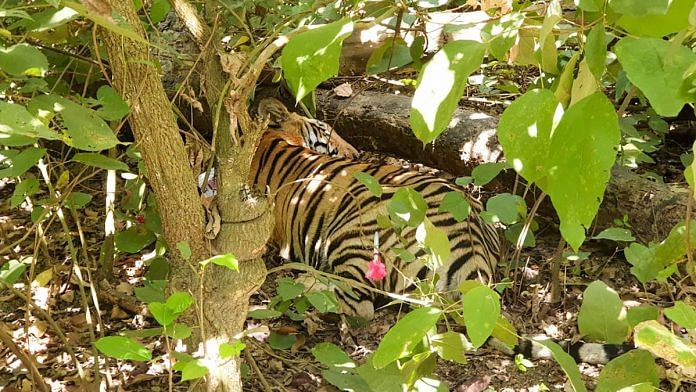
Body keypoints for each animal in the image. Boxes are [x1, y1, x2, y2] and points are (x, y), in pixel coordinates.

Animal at [250, 97, 632, 364]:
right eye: (327, 133)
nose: (356, 152)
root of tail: (474, 252)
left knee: (359, 306)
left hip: (358, 229)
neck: (266, 142)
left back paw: (302, 286)